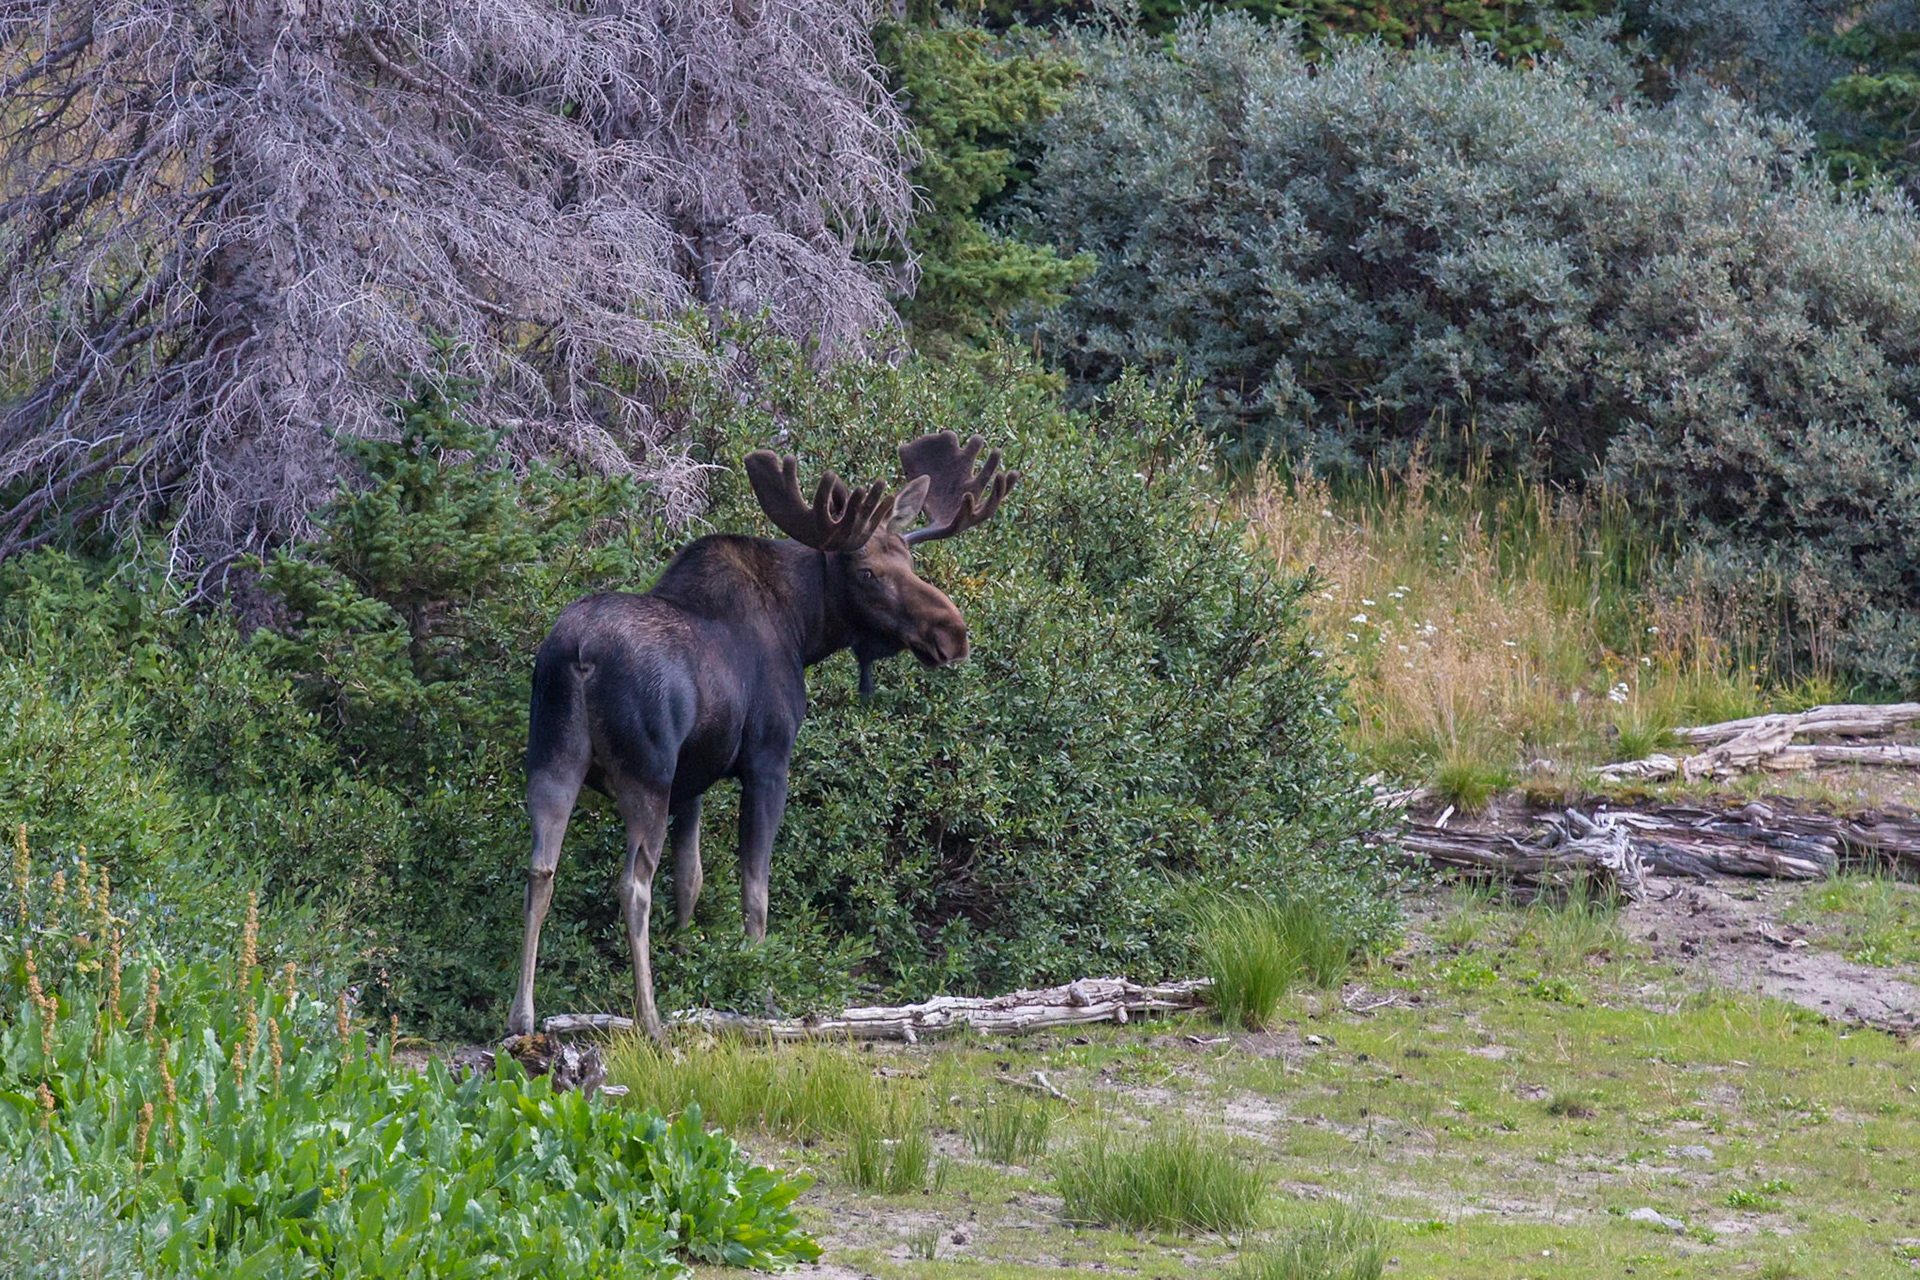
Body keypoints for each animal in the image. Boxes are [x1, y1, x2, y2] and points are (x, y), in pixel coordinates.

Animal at [506, 431, 1019, 1039]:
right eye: (867, 573)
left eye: (911, 560)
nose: (952, 633)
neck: (805, 630)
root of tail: (579, 656)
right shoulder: (767, 761)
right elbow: (755, 889)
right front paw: (758, 987)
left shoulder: (694, 778)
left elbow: (691, 877)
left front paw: (689, 962)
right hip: (645, 774)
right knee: (632, 884)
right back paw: (648, 1018)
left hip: (552, 761)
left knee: (540, 868)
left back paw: (522, 1015)